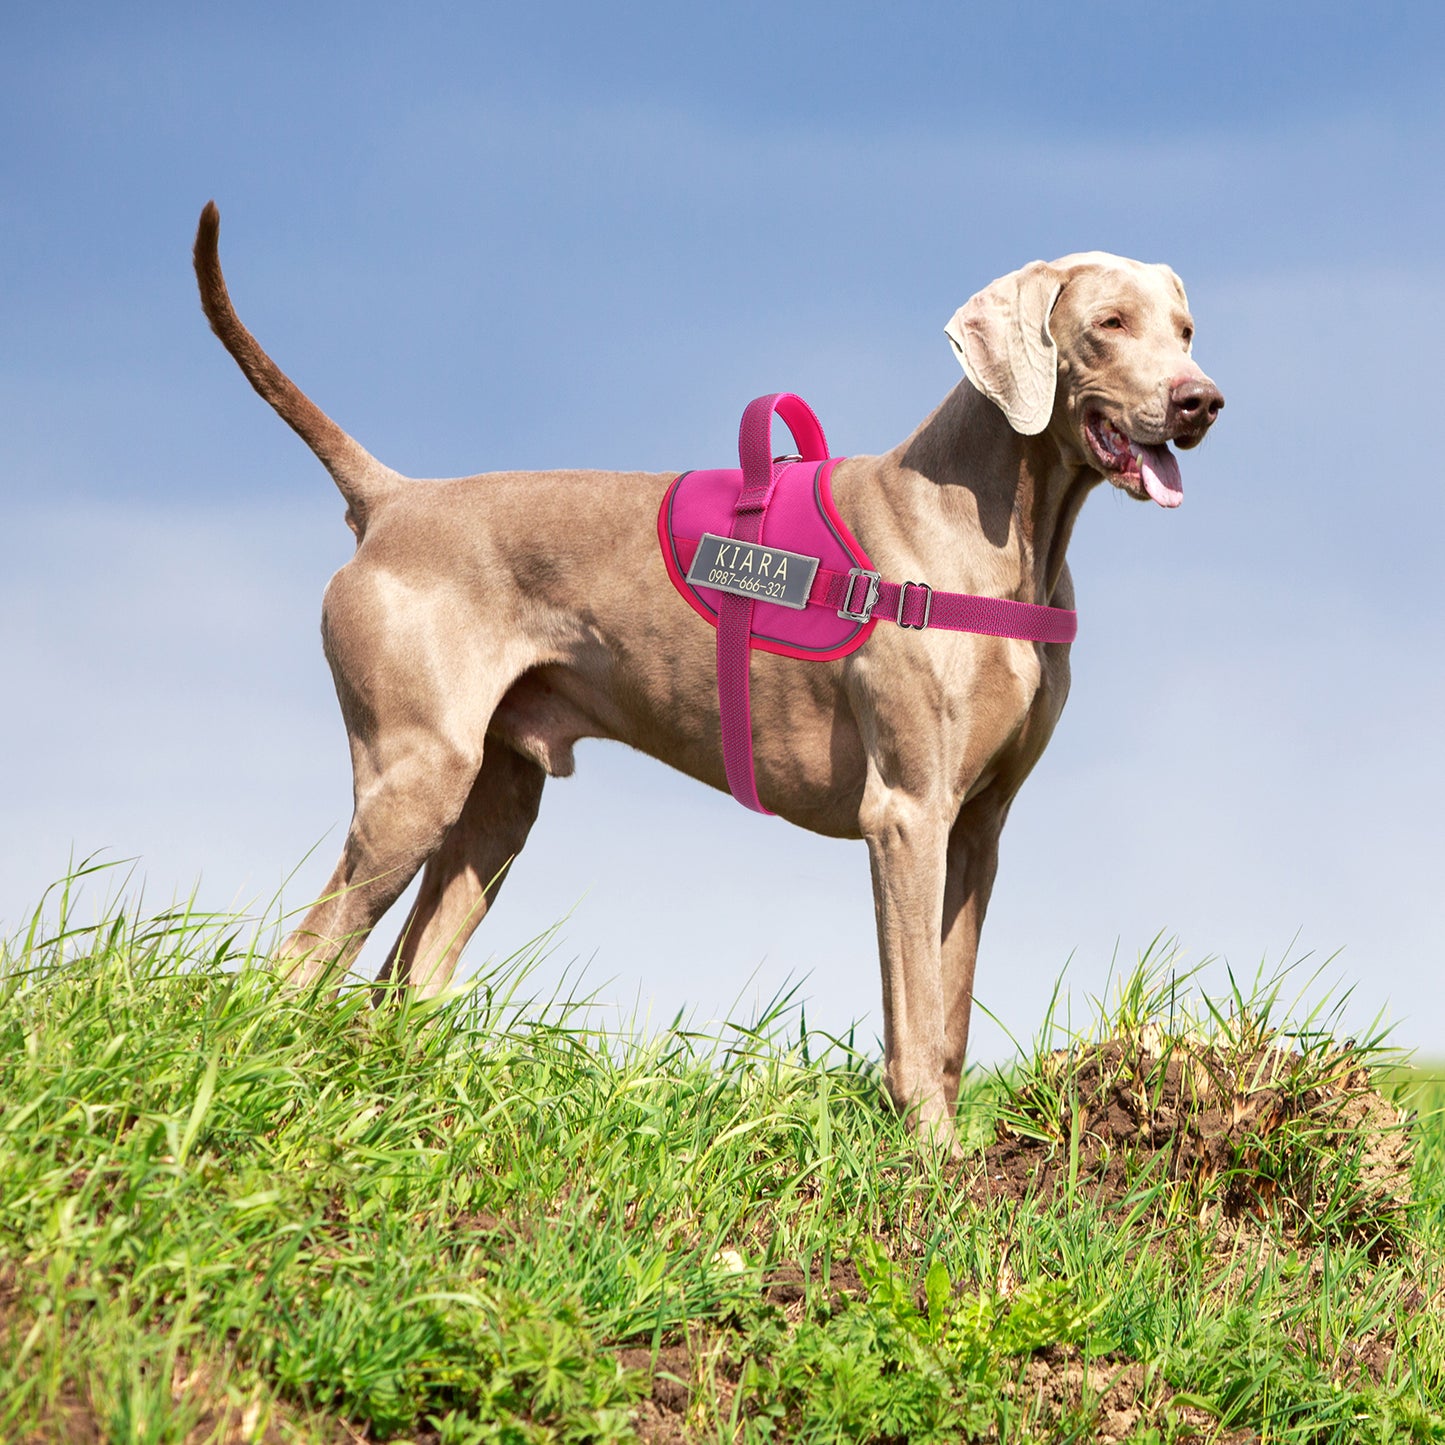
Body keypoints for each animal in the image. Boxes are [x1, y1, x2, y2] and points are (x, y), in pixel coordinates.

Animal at [195, 203, 1219, 1150]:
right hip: (418, 778)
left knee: (400, 982)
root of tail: (393, 499)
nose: (1201, 400)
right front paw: (931, 1159)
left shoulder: (978, 827)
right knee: (298, 960)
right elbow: (918, 1015)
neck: (1005, 530)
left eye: (1183, 328)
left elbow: (954, 1012)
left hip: (495, 805)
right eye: (1110, 322)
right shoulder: (907, 813)